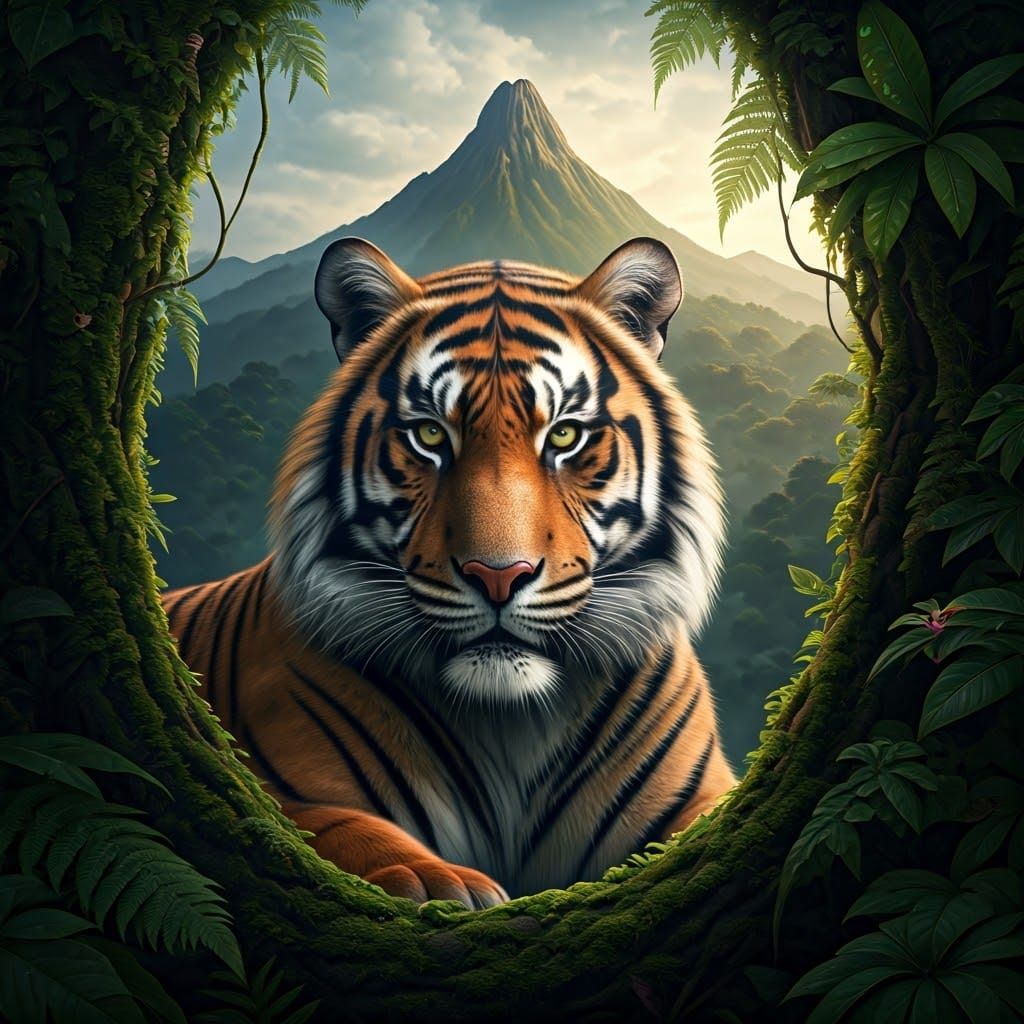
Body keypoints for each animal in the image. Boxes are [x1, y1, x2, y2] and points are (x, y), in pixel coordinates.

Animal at [162, 235, 735, 909]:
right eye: (431, 435)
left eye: (565, 435)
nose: (499, 576)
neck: (512, 724)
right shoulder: (259, 781)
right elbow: (323, 824)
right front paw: (439, 883)